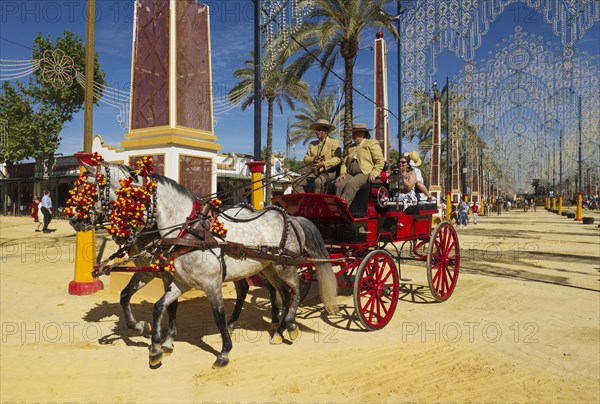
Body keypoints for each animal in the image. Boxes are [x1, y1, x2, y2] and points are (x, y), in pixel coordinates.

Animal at [69, 163, 338, 368]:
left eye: (91, 190)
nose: (73, 220)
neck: (186, 231)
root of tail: (290, 217)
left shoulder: (209, 284)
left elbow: (216, 316)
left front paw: (223, 352)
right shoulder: (176, 280)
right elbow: (155, 305)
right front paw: (156, 345)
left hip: (286, 266)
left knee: (296, 289)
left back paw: (289, 324)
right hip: (268, 267)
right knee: (279, 292)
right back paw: (278, 329)